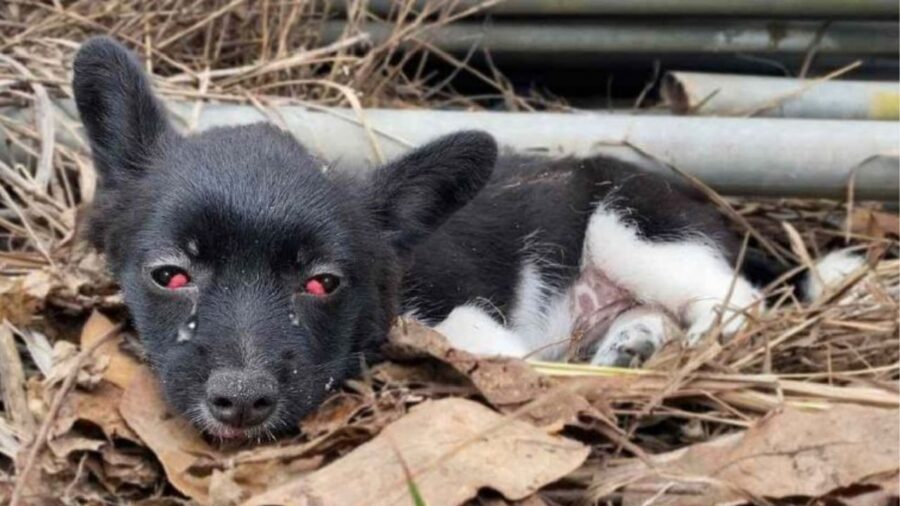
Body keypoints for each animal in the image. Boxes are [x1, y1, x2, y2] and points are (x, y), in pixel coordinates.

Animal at [74, 36, 860, 438]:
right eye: (170, 274)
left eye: (323, 282)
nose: (240, 401)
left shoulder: (461, 312)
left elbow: (479, 341)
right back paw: (633, 344)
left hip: (632, 224)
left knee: (738, 301)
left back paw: (689, 350)